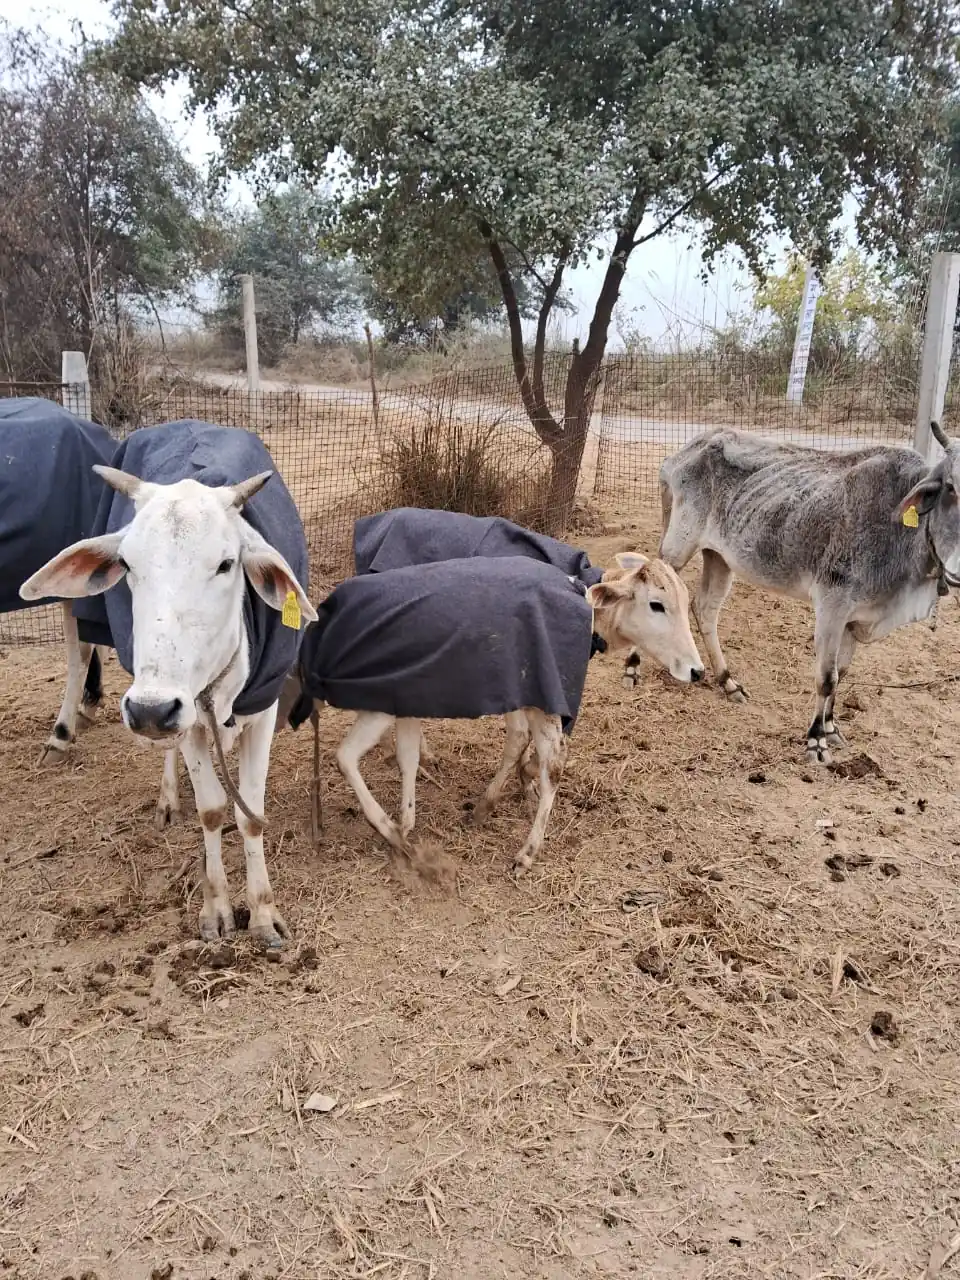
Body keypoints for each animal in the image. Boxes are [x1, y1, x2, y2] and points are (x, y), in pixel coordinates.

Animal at [20, 421, 315, 948]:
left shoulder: (262, 713)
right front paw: (217, 908)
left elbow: (250, 814)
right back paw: (167, 797)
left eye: (226, 563)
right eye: (127, 565)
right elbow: (212, 810)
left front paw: (263, 914)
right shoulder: (188, 716)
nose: (151, 711)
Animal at [285, 552, 703, 876]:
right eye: (656, 604)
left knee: (552, 762)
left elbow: (359, 757)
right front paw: (406, 826)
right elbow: (405, 757)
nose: (697, 670)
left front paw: (398, 829)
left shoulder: (393, 702)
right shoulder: (405, 700)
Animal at [656, 423, 960, 762]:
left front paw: (831, 727)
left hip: (719, 558)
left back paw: (728, 682)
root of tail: (690, 447)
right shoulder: (831, 606)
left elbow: (842, 672)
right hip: (678, 546)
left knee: (705, 609)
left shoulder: (854, 619)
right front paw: (816, 739)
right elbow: (827, 678)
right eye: (950, 487)